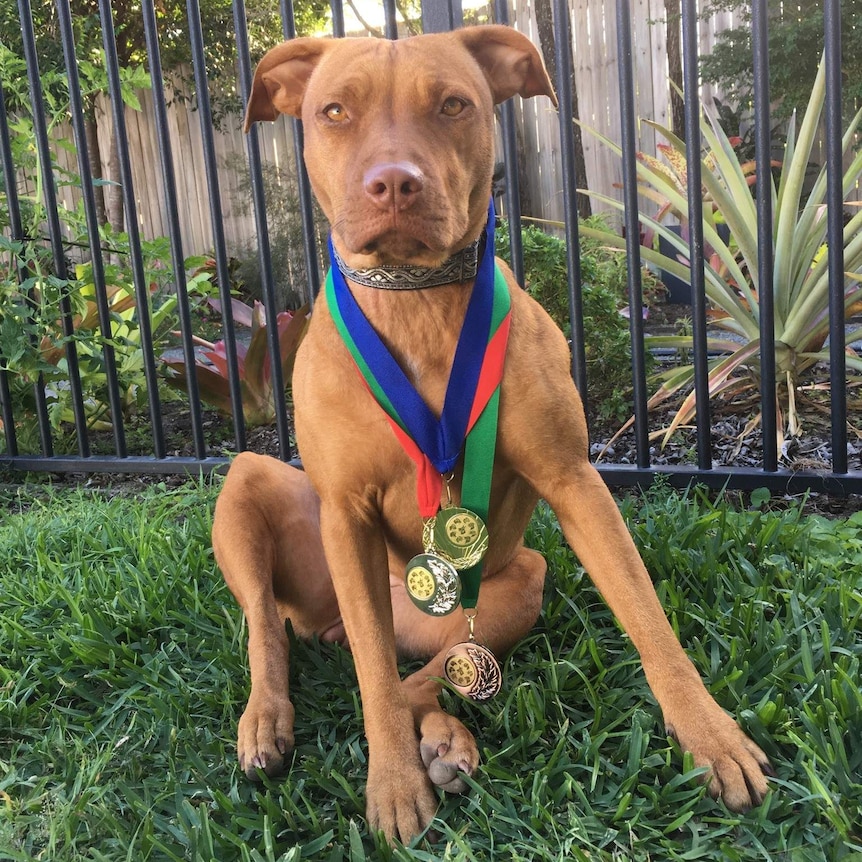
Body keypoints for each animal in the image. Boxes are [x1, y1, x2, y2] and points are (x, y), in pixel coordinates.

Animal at [211, 25, 776, 844]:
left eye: (453, 104)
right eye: (334, 111)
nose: (394, 183)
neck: (415, 302)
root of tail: (329, 623)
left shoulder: (575, 482)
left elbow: (648, 619)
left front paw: (712, 737)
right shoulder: (343, 515)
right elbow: (372, 683)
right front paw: (391, 784)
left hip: (513, 588)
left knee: (424, 671)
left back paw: (447, 740)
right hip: (256, 488)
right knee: (278, 627)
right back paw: (268, 718)